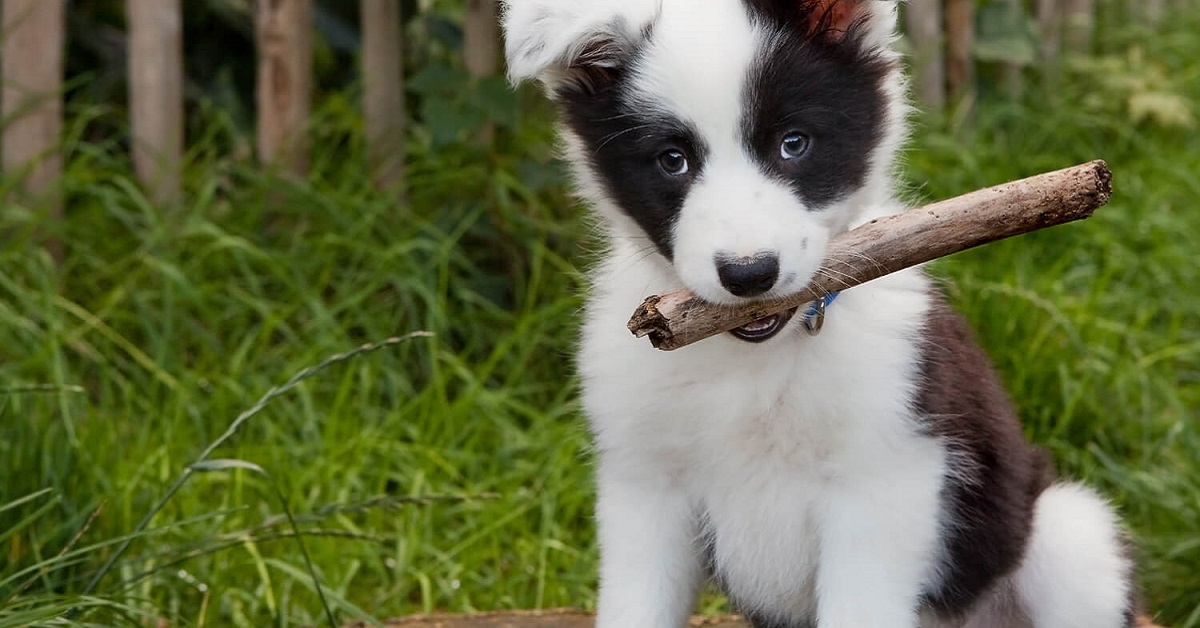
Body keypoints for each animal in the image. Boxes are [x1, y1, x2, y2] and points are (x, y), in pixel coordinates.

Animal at [501, 2, 1137, 624]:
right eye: (672, 160)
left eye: (794, 143)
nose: (749, 273)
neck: (752, 365)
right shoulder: (643, 486)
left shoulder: (884, 477)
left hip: (1070, 533)